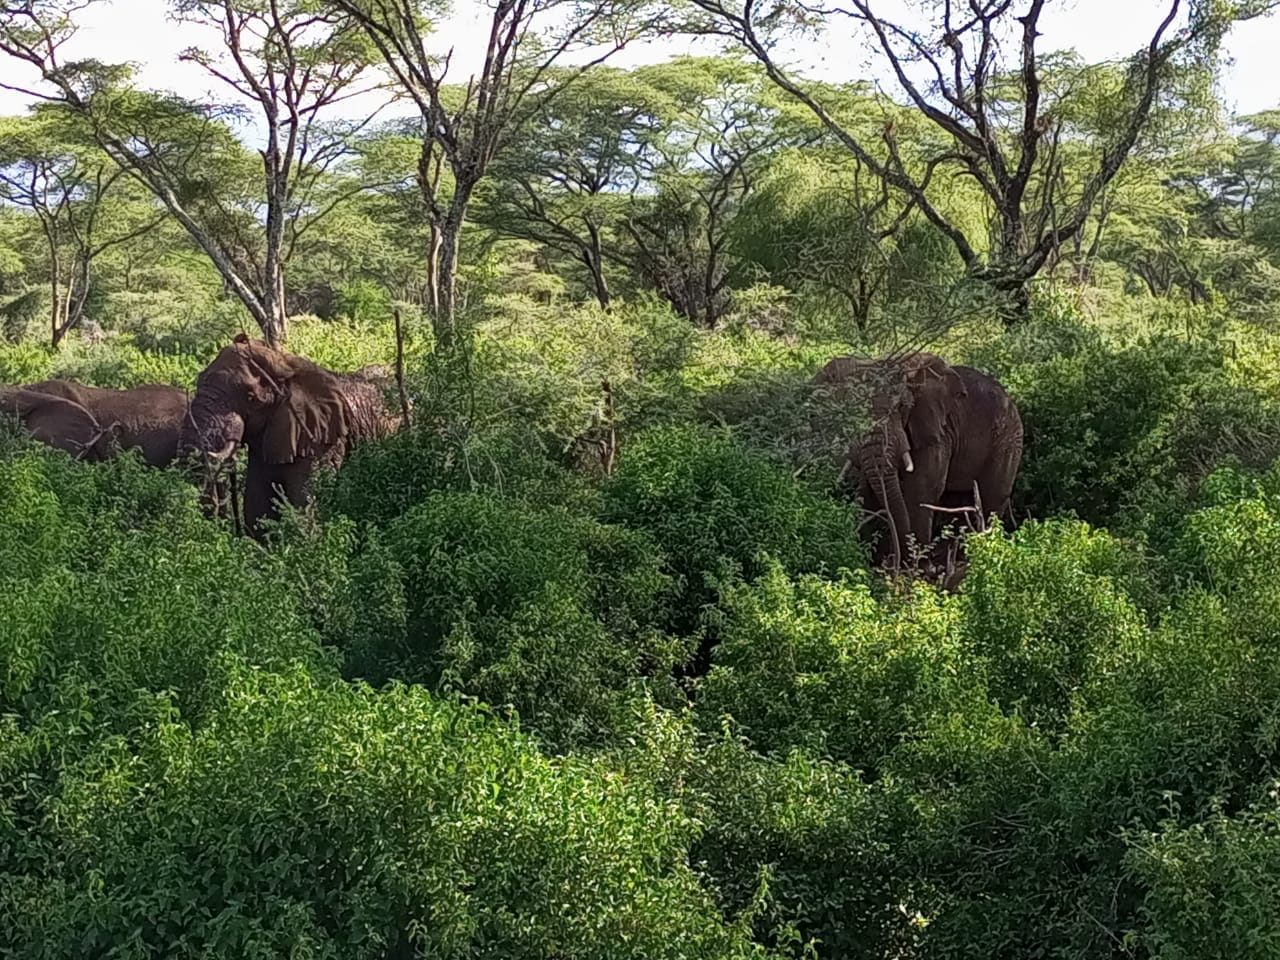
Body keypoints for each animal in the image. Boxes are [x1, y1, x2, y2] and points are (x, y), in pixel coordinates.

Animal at [814, 352, 1023, 571]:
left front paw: (918, 567)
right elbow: (867, 489)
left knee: (992, 497)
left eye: (901, 407)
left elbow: (922, 489)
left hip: (1008, 440)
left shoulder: (937, 431)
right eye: (855, 410)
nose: (894, 561)